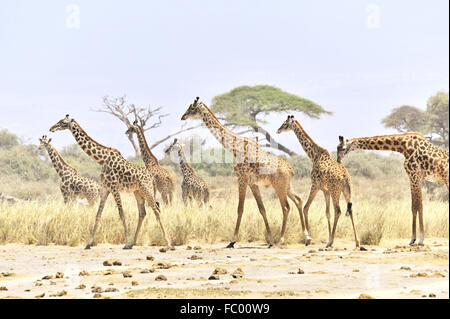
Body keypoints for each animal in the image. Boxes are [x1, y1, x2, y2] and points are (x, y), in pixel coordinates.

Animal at [48, 115, 172, 250]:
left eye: (63, 122)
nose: (51, 128)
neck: (101, 160)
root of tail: (151, 178)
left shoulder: (114, 187)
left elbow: (121, 213)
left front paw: (126, 242)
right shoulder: (105, 188)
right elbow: (98, 214)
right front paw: (88, 244)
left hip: (147, 190)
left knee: (156, 210)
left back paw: (167, 244)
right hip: (137, 192)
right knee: (143, 212)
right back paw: (133, 243)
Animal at [181, 97, 308, 248]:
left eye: (192, 108)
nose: (183, 116)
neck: (235, 148)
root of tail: (289, 169)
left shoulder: (241, 179)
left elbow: (240, 208)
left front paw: (232, 241)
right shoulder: (253, 183)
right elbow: (262, 209)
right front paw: (270, 240)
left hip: (279, 186)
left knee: (286, 207)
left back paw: (281, 240)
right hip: (287, 186)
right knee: (298, 200)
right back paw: (306, 237)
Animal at [276, 116, 360, 249]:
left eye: (285, 124)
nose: (278, 130)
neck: (314, 155)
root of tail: (346, 178)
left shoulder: (315, 185)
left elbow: (306, 207)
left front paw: (308, 239)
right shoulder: (326, 190)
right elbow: (327, 213)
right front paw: (326, 237)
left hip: (336, 191)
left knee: (338, 211)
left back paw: (330, 242)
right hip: (346, 191)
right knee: (350, 210)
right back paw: (356, 242)